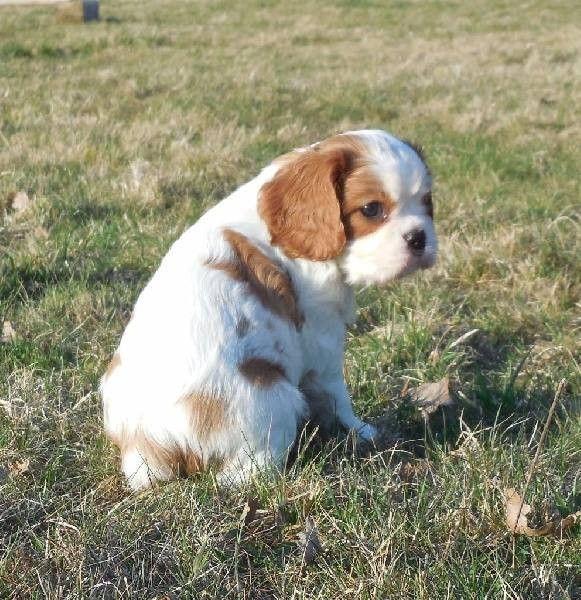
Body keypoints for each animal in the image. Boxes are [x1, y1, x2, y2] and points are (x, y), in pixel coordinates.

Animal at [101, 129, 436, 490]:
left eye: (427, 202)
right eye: (372, 209)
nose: (419, 238)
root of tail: (150, 445)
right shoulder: (321, 336)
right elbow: (335, 393)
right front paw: (361, 431)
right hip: (274, 398)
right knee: (243, 475)